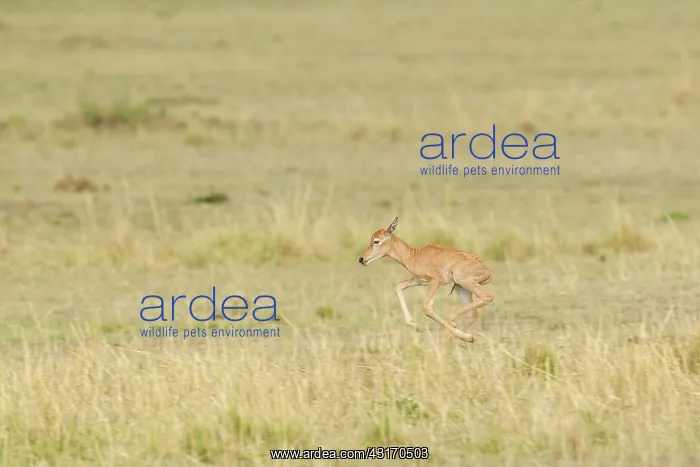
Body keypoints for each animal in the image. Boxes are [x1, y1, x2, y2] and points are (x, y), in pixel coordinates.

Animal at [358, 217, 494, 343]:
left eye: (376, 241)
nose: (362, 259)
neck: (414, 255)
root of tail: (488, 270)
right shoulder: (419, 281)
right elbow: (398, 286)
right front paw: (414, 325)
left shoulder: (436, 281)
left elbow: (426, 308)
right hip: (461, 289)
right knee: (473, 314)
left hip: (465, 282)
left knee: (487, 297)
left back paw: (460, 329)